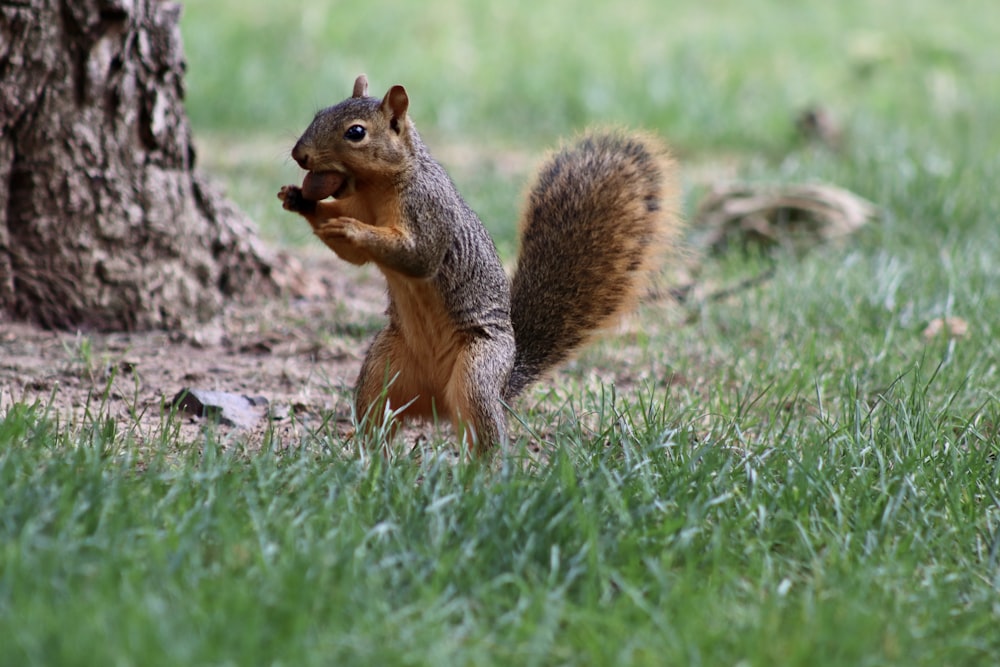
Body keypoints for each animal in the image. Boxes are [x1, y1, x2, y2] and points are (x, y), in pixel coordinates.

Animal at [276, 77, 680, 454]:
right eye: (319, 113)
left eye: (356, 132)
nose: (299, 154)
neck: (377, 189)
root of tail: (437, 403)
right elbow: (354, 257)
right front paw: (300, 200)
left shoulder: (430, 210)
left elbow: (419, 256)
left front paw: (350, 227)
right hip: (382, 369)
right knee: (378, 419)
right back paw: (367, 456)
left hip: (478, 369)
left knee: (484, 430)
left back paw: (484, 473)